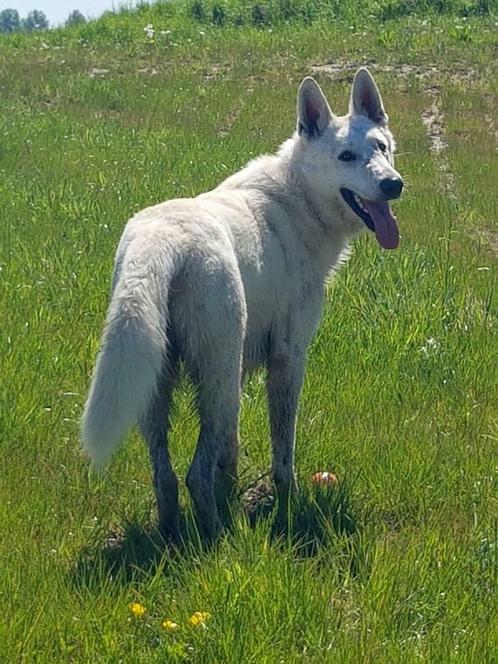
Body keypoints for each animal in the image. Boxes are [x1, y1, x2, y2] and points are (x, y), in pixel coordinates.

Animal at [80, 70, 400, 544]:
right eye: (346, 156)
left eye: (381, 147)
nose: (394, 185)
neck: (298, 197)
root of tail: (161, 240)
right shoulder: (288, 360)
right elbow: (283, 456)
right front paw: (287, 508)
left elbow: (228, 456)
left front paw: (233, 495)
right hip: (219, 380)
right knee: (194, 475)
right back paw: (217, 540)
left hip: (158, 387)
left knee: (166, 476)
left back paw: (175, 536)